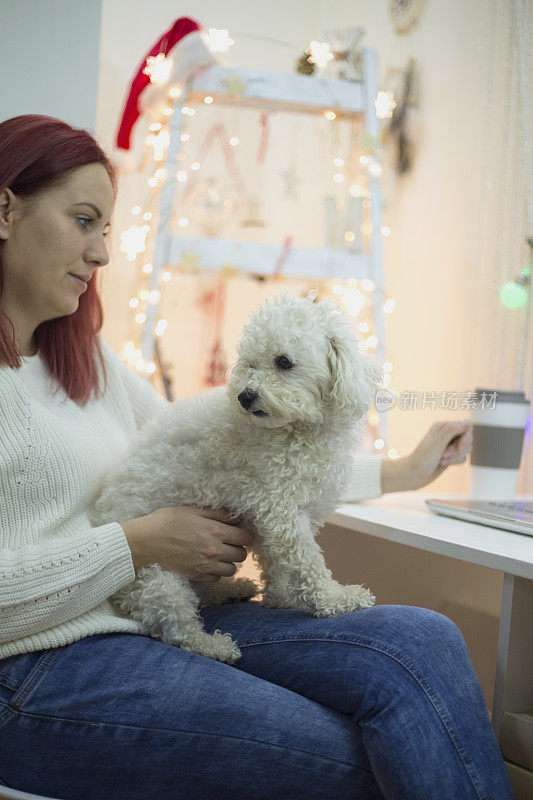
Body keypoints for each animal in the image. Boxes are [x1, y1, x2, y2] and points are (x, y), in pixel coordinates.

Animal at [91, 290, 382, 664]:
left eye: (283, 361)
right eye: (250, 363)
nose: (245, 396)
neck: (299, 431)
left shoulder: (274, 513)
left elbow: (276, 561)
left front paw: (281, 597)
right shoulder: (279, 506)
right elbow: (305, 560)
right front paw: (333, 599)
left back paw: (231, 588)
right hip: (159, 580)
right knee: (177, 628)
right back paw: (215, 644)